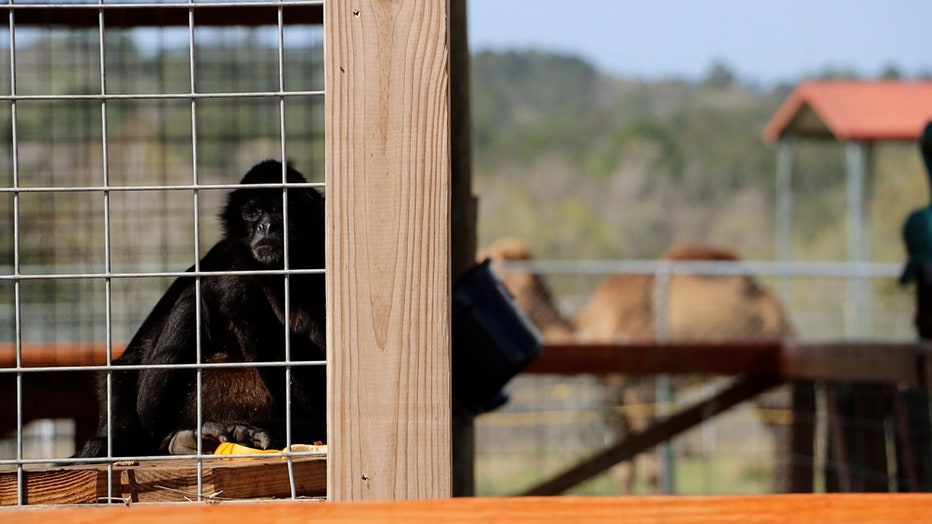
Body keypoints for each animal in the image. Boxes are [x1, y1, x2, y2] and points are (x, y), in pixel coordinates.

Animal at [78, 161, 330, 458]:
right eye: (253, 213)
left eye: (282, 209)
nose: (266, 226)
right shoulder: (218, 255)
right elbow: (129, 361)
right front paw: (113, 441)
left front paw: (234, 287)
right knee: (192, 297)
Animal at [476, 239, 796, 494]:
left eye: (494, 256)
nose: (479, 257)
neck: (594, 327)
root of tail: (777, 309)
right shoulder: (610, 391)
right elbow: (623, 466)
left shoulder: (644, 386)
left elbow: (652, 464)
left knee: (782, 429)